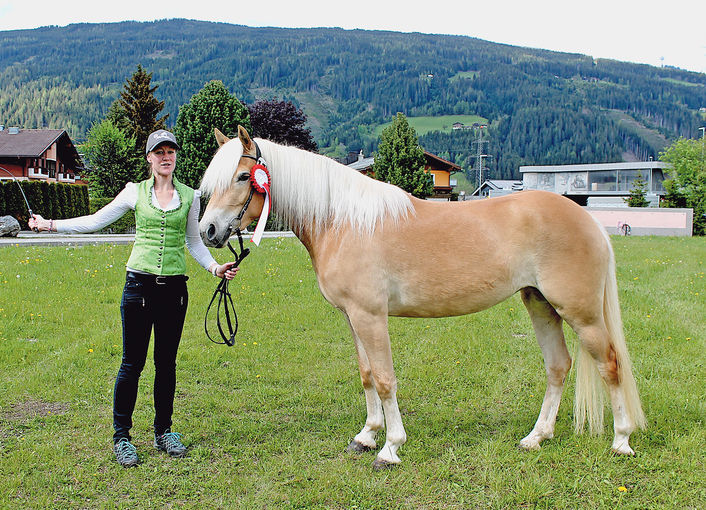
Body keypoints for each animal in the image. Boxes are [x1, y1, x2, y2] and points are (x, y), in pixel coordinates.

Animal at [197, 125, 644, 468]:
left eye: (243, 177)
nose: (208, 231)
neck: (344, 221)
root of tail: (589, 220)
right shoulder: (352, 317)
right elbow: (366, 375)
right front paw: (367, 436)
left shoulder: (371, 316)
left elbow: (384, 379)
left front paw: (390, 448)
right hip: (540, 304)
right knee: (558, 366)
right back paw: (536, 436)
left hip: (581, 313)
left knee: (610, 364)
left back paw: (621, 440)